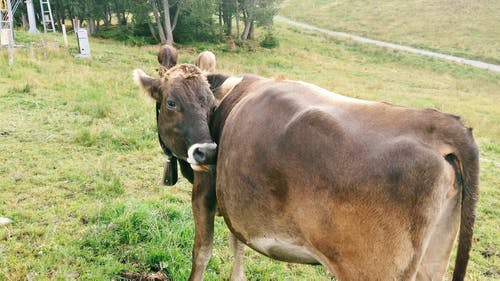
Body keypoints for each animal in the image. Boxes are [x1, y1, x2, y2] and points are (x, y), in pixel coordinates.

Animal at [133, 64, 476, 280]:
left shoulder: (204, 192)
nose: (207, 152)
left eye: (207, 104)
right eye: (172, 102)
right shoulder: (235, 201)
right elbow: (237, 245)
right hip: (432, 261)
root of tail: (439, 123)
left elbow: (201, 253)